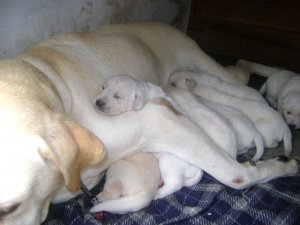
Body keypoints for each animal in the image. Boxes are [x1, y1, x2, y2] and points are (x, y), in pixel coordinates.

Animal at [0, 21, 298, 225]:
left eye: (10, 208)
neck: (51, 84)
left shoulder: (161, 119)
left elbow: (236, 176)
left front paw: (283, 166)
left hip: (207, 65)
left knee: (242, 70)